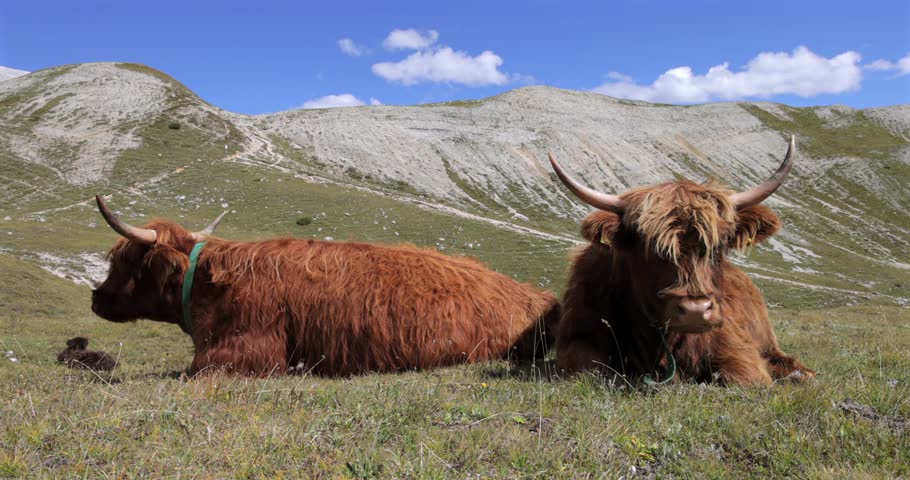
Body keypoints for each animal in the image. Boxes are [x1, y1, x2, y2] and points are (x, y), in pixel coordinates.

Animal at [549, 136, 814, 386]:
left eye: (717, 247)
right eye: (650, 247)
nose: (696, 311)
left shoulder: (737, 349)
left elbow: (744, 378)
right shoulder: (579, 337)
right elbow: (589, 368)